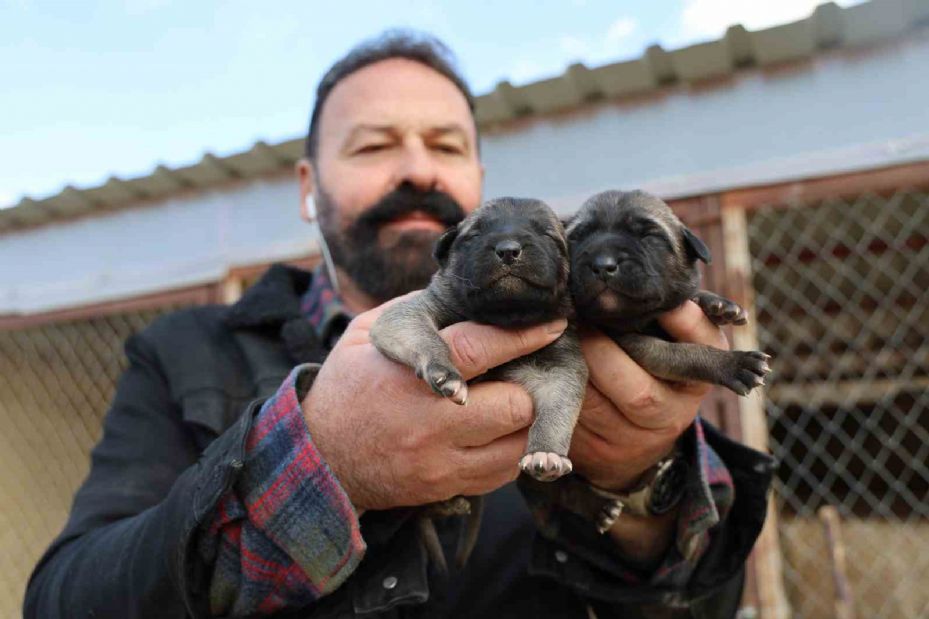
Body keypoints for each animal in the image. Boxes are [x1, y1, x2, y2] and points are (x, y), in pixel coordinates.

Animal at [370, 199, 588, 572]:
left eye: (546, 234)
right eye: (474, 235)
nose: (508, 250)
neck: (504, 318)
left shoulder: (561, 366)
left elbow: (558, 410)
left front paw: (546, 452)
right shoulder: (412, 310)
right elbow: (420, 333)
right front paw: (445, 373)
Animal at [564, 189, 768, 394]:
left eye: (648, 236)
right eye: (576, 238)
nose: (602, 265)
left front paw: (719, 305)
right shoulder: (638, 346)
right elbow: (683, 353)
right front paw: (733, 363)